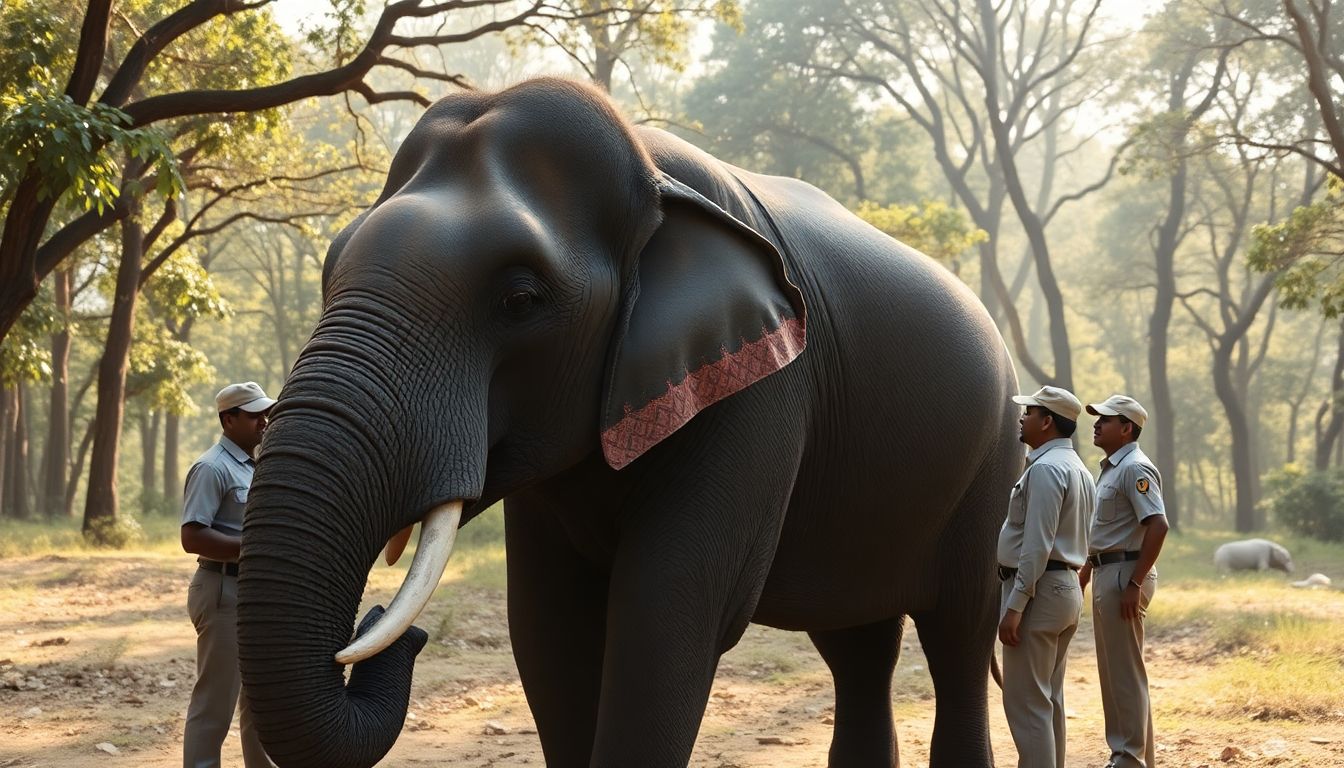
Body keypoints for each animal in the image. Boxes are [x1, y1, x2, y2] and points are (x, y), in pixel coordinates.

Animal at [236, 77, 1021, 768]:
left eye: (520, 299)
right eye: (330, 270)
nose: (382, 625)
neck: (651, 174)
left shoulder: (763, 393)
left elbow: (667, 612)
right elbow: (548, 627)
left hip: (993, 464)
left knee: (960, 632)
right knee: (857, 646)